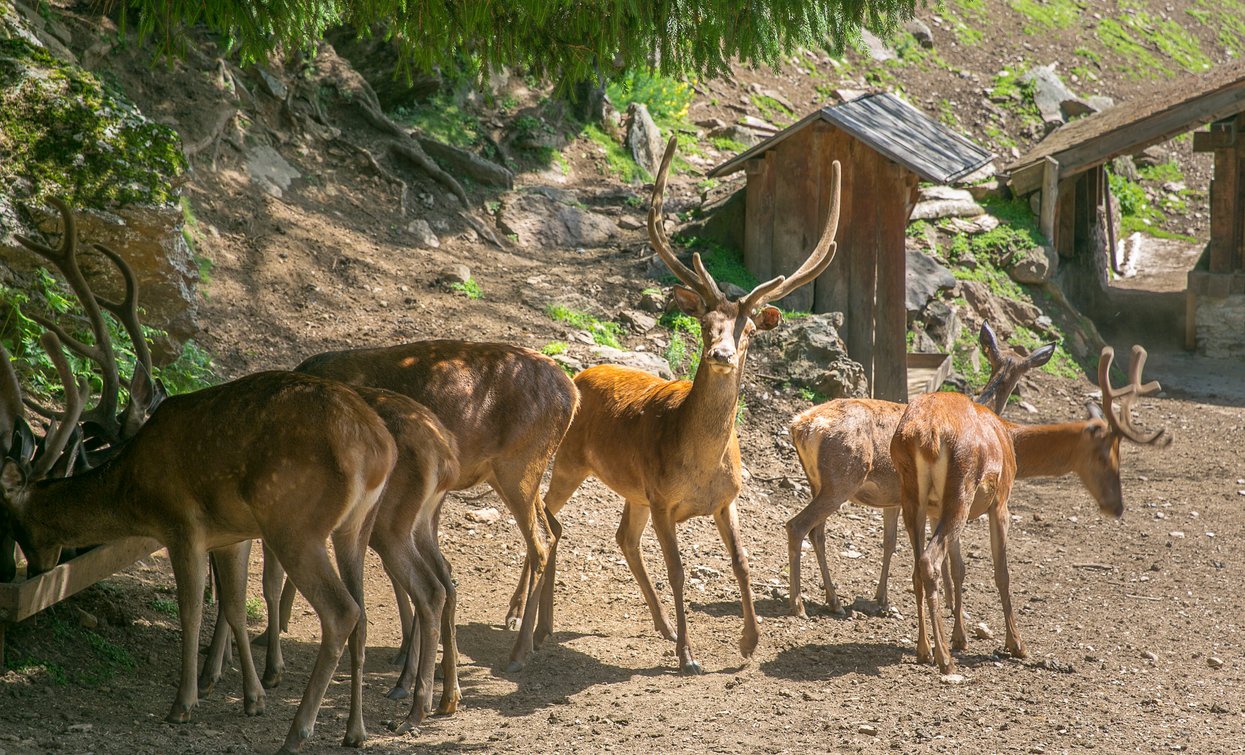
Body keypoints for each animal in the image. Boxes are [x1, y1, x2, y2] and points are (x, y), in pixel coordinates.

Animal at [0, 203, 395, 755]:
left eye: (17, 523)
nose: (38, 569)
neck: (133, 486)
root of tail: (379, 447)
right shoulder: (228, 534)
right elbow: (232, 604)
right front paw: (251, 698)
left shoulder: (182, 523)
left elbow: (191, 608)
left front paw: (183, 704)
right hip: (355, 526)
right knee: (361, 613)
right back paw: (354, 732)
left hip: (297, 523)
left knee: (341, 613)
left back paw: (298, 732)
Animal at [530, 135, 841, 672]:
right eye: (704, 325)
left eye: (749, 330)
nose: (721, 354)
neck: (698, 463)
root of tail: (580, 374)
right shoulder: (662, 499)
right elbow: (677, 571)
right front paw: (688, 656)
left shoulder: (726, 499)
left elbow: (741, 563)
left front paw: (749, 643)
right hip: (571, 460)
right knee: (549, 515)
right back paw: (538, 622)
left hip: (631, 489)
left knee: (622, 537)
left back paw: (660, 624)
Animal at [786, 321, 1050, 617]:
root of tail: (801, 426)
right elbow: (943, 557)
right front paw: (952, 605)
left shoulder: (892, 501)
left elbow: (889, 543)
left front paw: (882, 598)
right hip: (842, 478)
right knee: (797, 525)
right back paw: (798, 604)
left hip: (817, 482)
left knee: (817, 532)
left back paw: (834, 601)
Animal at [896, 346, 1165, 677]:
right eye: (1106, 456)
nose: (1117, 507)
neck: (1010, 439)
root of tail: (925, 435)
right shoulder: (1001, 501)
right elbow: (1002, 573)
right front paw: (1016, 644)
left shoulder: (938, 508)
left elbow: (959, 569)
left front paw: (961, 637)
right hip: (961, 489)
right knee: (929, 560)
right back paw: (944, 658)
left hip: (913, 497)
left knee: (916, 567)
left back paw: (924, 649)